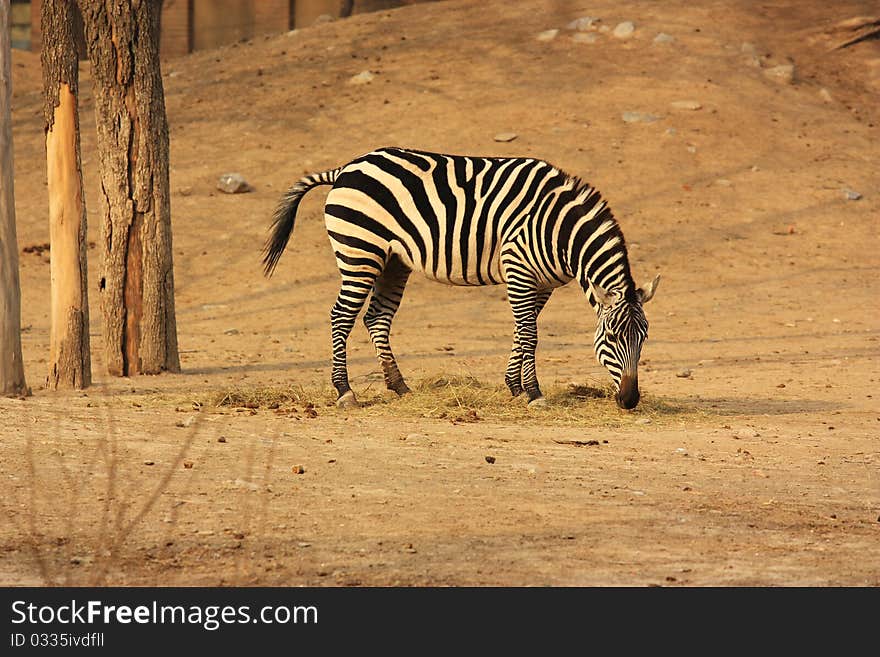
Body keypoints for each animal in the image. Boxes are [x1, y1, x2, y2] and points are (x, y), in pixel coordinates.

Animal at [262, 146, 660, 408]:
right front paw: (533, 393)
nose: (629, 400)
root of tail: (346, 168)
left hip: (393, 260)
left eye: (644, 338)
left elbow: (522, 331)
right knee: (341, 316)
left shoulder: (542, 283)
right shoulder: (517, 268)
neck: (560, 230)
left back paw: (399, 385)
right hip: (360, 251)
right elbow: (529, 334)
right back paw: (345, 391)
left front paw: (514, 386)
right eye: (611, 337)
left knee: (376, 318)